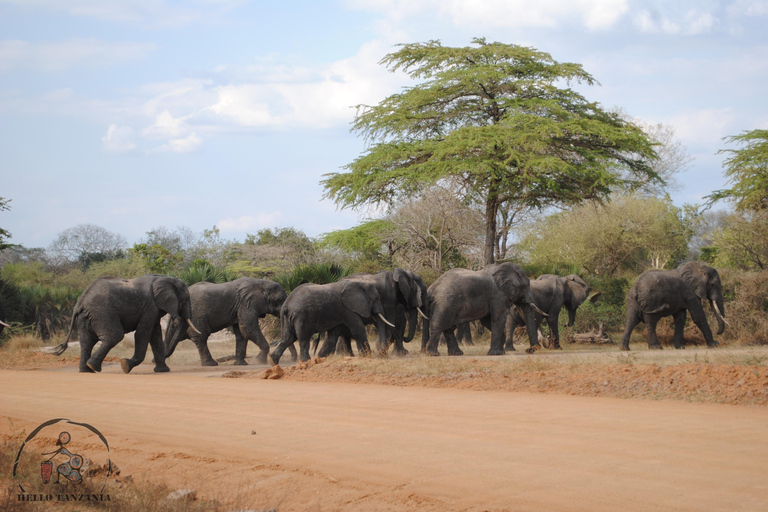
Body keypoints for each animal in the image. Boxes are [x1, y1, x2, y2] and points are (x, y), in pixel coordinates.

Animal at [52, 274, 198, 374]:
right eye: (185, 299)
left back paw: (87, 370)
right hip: (103, 312)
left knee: (86, 342)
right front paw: (126, 365)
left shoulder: (153, 309)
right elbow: (143, 333)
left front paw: (163, 370)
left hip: (86, 317)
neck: (164, 278)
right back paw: (93, 367)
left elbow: (155, 334)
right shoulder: (149, 307)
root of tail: (80, 302)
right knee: (115, 336)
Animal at [164, 278, 292, 366]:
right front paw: (260, 361)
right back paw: (211, 364)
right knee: (201, 338)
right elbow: (248, 328)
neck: (261, 283)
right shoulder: (244, 305)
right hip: (196, 315)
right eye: (280, 300)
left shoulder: (238, 307)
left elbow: (241, 333)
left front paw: (241, 364)